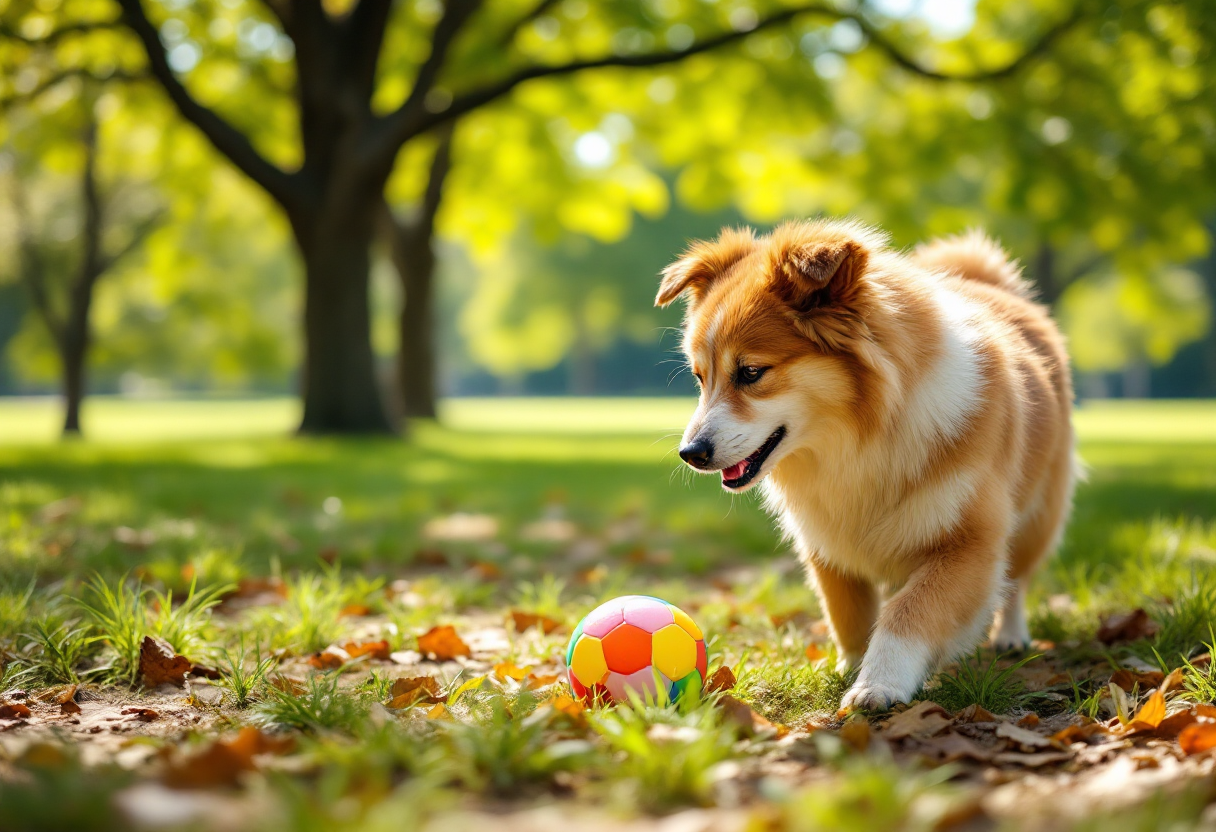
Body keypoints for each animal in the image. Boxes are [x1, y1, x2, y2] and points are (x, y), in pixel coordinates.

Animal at [656, 218, 1074, 710]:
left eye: (752, 372)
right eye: (700, 377)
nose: (691, 453)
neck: (859, 439)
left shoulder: (970, 544)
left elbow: (911, 610)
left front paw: (881, 682)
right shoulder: (827, 542)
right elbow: (847, 612)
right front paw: (851, 667)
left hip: (1038, 517)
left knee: (1017, 581)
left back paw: (1011, 635)